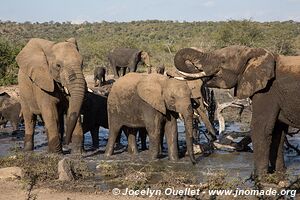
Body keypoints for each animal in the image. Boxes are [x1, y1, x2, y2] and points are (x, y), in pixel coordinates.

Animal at [173, 45, 300, 180]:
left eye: (223, 60)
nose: (214, 136)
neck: (254, 53)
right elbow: (277, 131)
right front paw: (279, 175)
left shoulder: (267, 91)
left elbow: (261, 129)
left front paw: (258, 178)